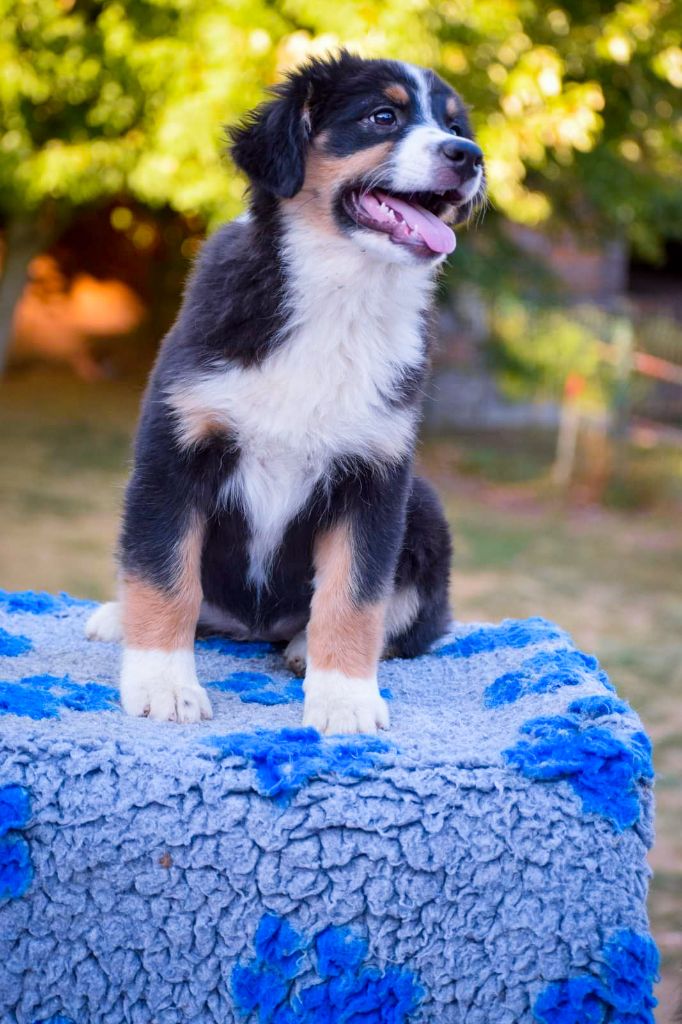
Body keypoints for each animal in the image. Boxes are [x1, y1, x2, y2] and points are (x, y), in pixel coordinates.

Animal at [86, 51, 485, 734]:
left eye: (455, 125)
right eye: (382, 117)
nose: (469, 155)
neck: (339, 297)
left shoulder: (376, 476)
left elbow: (355, 597)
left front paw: (345, 699)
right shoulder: (176, 453)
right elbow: (164, 575)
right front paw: (164, 685)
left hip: (425, 507)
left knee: (405, 620)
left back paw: (302, 647)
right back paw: (119, 619)